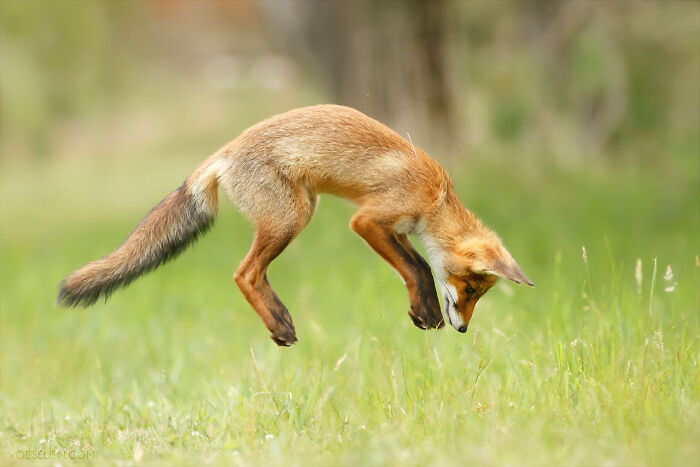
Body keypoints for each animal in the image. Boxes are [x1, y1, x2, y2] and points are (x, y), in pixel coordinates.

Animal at [57, 104, 533, 346]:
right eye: (470, 288)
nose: (464, 329)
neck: (436, 198)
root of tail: (225, 151)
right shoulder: (369, 220)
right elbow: (417, 268)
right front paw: (427, 314)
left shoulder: (396, 230)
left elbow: (417, 268)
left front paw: (425, 310)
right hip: (293, 217)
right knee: (244, 273)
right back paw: (279, 325)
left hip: (298, 212)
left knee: (256, 274)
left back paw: (281, 320)